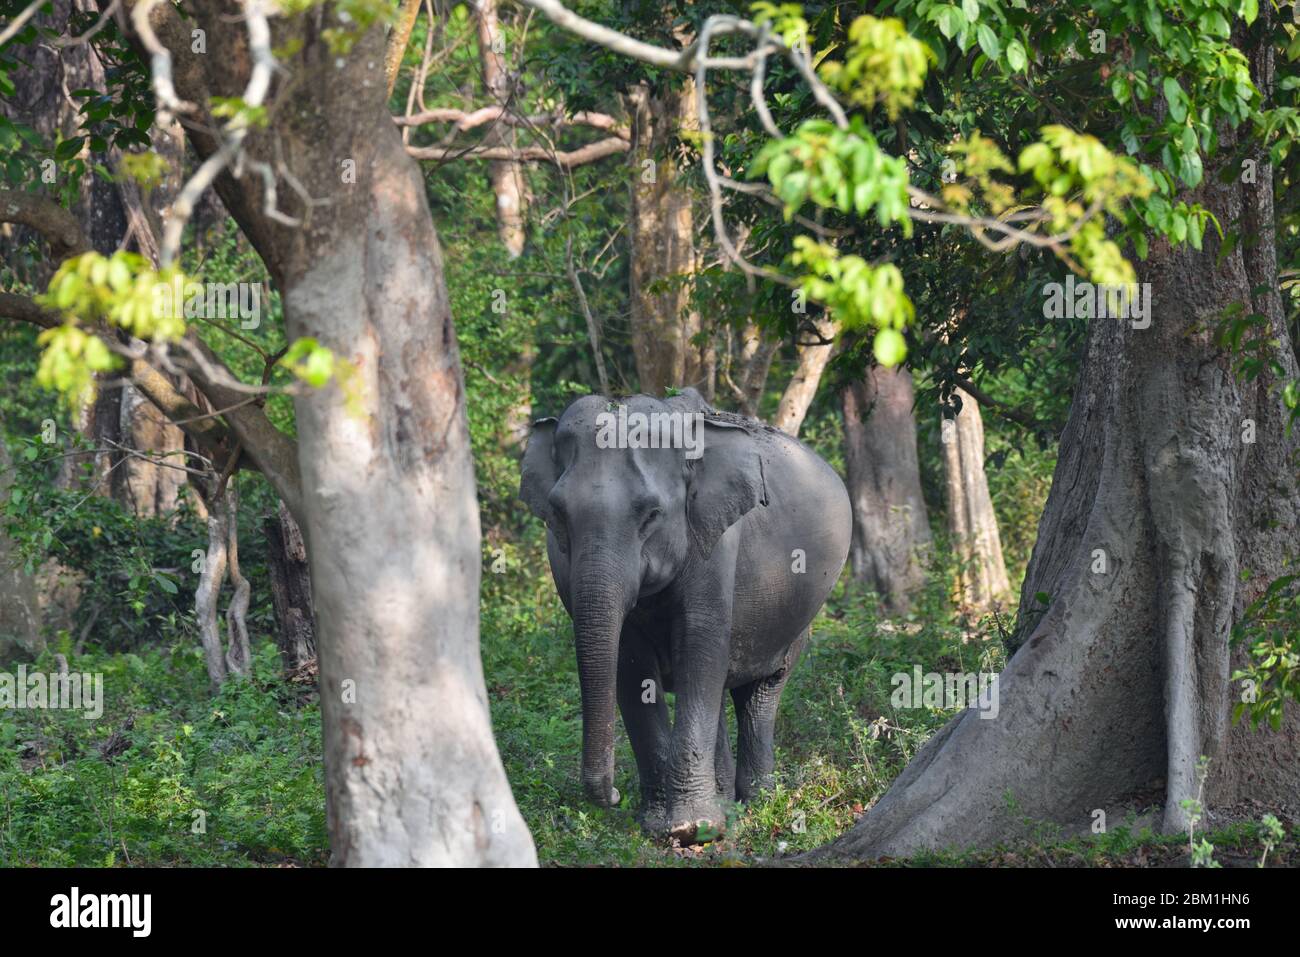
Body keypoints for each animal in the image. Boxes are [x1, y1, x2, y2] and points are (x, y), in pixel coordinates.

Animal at [520, 387, 852, 837]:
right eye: (557, 513)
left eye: (651, 515)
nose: (613, 796)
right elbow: (630, 663)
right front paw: (660, 823)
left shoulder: (717, 541)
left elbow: (699, 644)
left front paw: (691, 828)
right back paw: (727, 802)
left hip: (796, 618)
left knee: (762, 690)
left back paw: (758, 801)